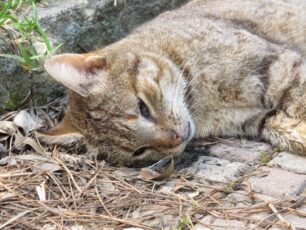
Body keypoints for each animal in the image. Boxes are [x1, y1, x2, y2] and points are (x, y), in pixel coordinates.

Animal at [38, 0, 306, 166]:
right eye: (139, 151)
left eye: (142, 107)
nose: (176, 138)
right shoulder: (257, 119)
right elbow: (289, 130)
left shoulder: (277, 70)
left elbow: (299, 100)